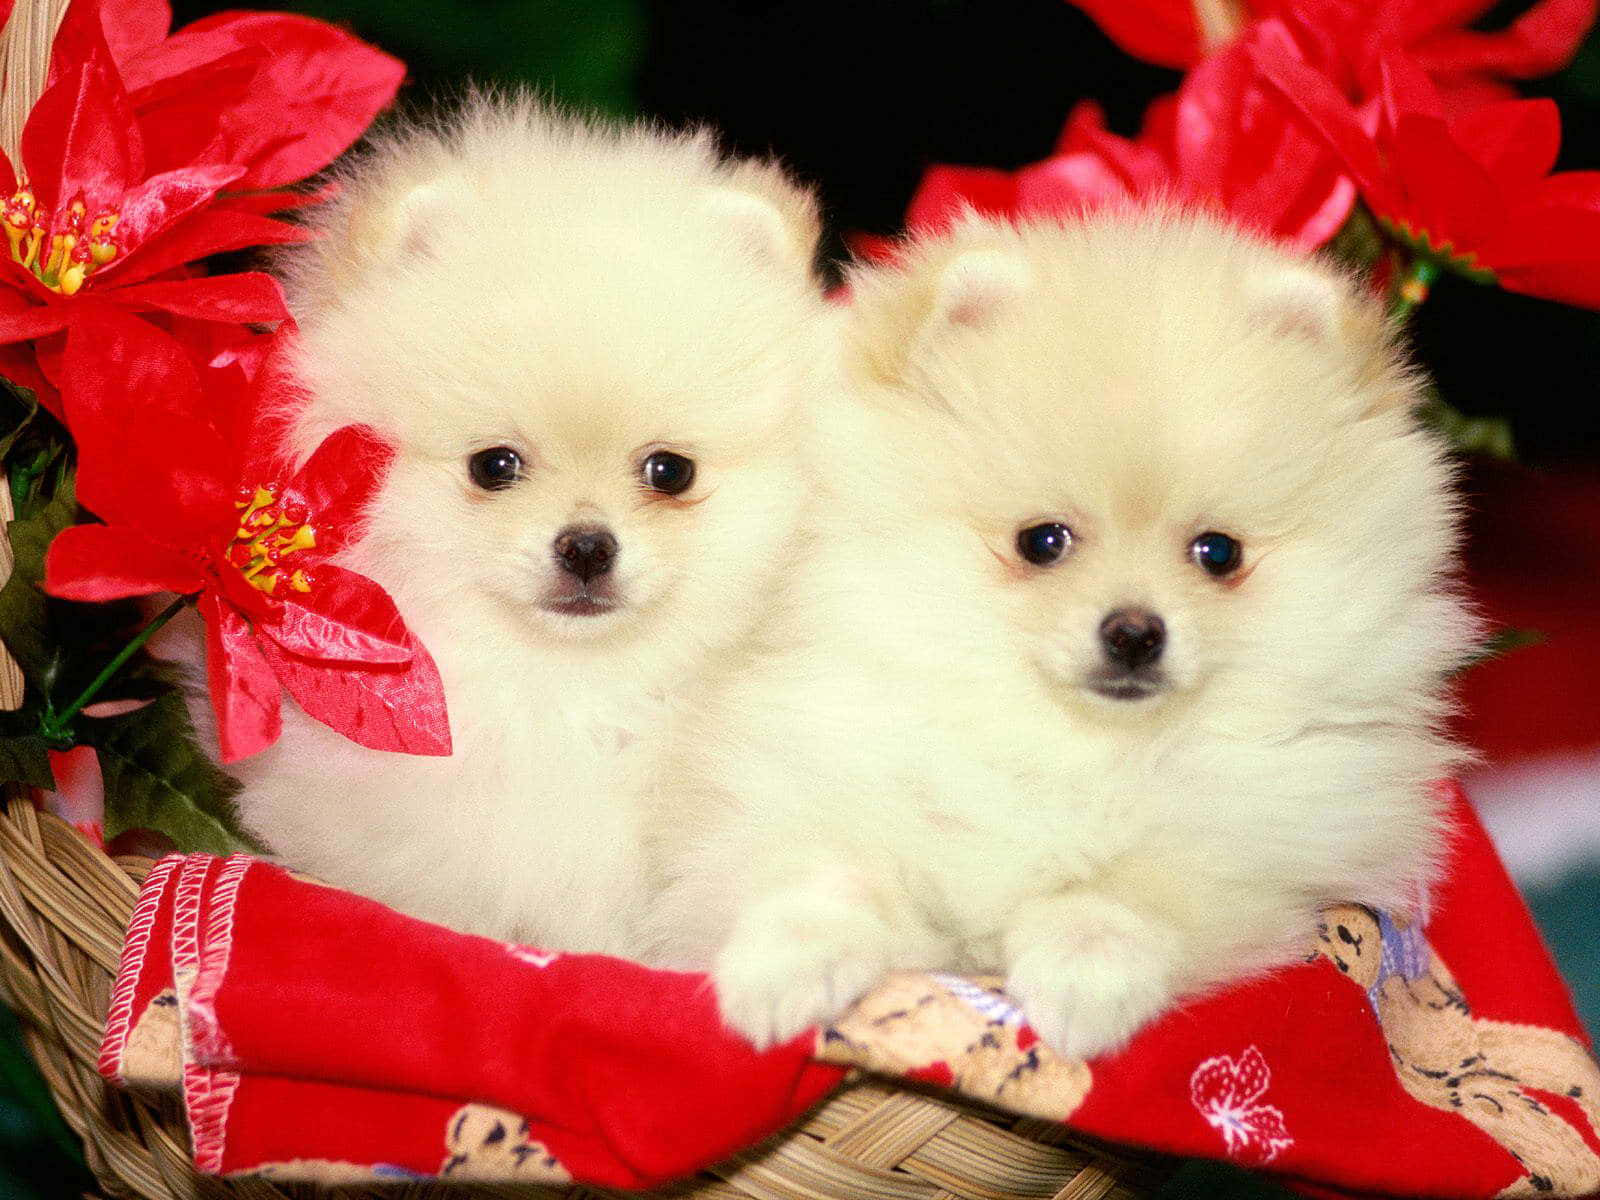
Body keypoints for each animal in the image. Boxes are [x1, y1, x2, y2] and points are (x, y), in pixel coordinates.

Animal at [649, 211, 1472, 1056]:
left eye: (1218, 553)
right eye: (1042, 542)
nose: (1135, 633)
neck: (1069, 743)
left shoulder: (1260, 855)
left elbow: (1127, 896)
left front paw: (1082, 981)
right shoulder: (820, 775)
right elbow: (827, 871)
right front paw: (780, 973)